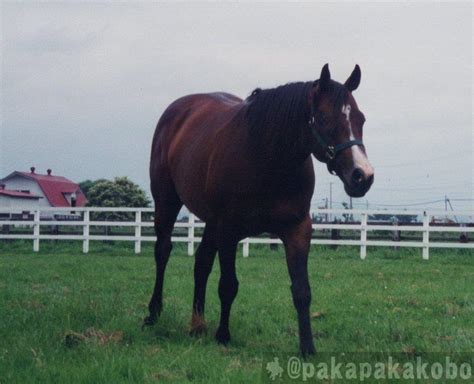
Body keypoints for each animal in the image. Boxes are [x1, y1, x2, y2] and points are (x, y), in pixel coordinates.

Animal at [144, 64, 374, 356]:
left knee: (202, 262)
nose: (362, 176)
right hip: (167, 202)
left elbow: (302, 291)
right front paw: (223, 335)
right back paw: (153, 313)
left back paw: (197, 324)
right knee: (162, 252)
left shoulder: (297, 229)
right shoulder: (228, 230)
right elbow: (228, 285)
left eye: (360, 119)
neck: (267, 157)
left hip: (210, 222)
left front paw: (307, 348)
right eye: (324, 119)